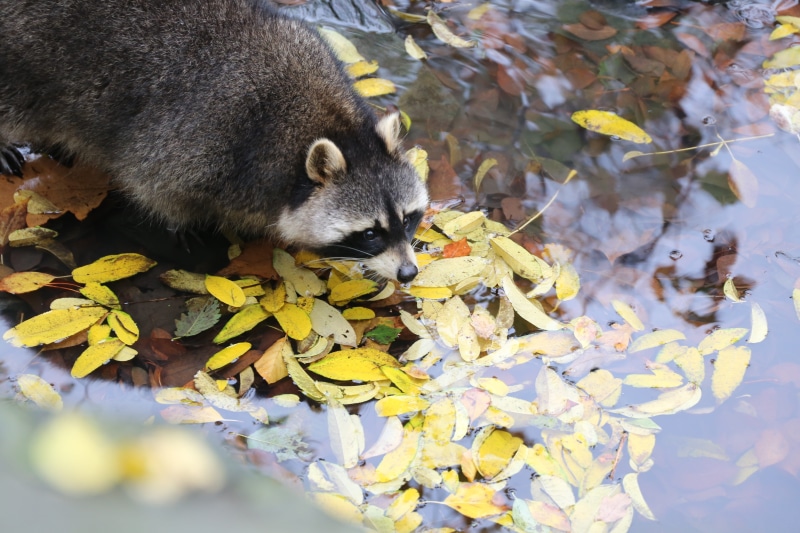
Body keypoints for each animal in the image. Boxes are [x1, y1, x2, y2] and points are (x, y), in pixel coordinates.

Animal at [0, 0, 428, 282]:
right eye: (369, 233)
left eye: (409, 219)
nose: (408, 273)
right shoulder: (200, 137)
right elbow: (156, 188)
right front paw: (182, 224)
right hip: (24, 62)